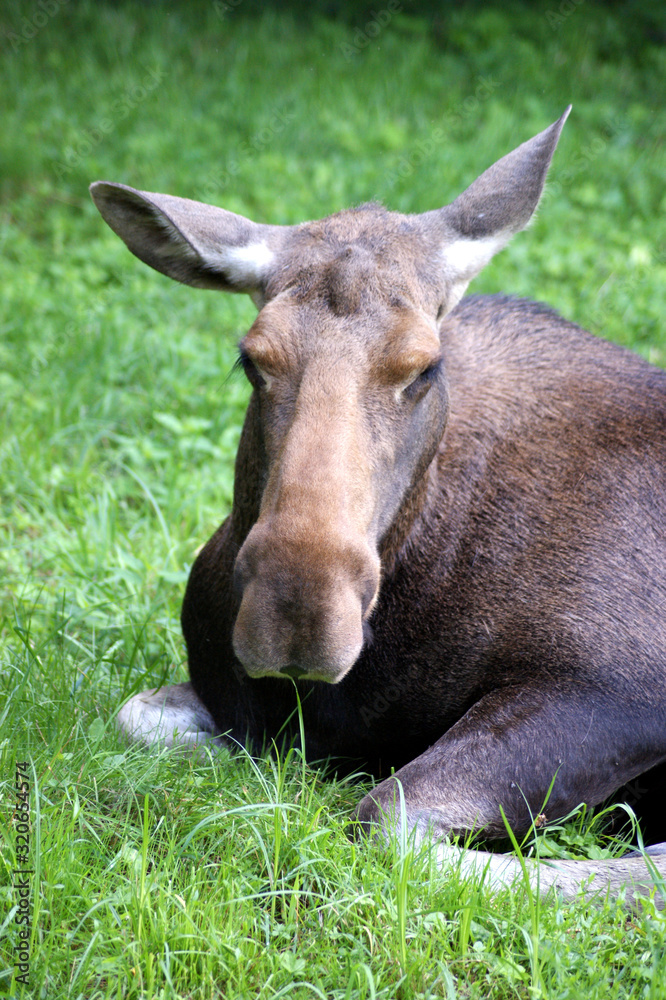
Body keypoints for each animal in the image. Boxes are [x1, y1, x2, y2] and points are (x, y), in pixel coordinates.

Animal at [91, 107, 666, 907]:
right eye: (251, 357)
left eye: (424, 365)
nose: (299, 611)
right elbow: (141, 716)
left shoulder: (617, 686)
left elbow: (387, 821)